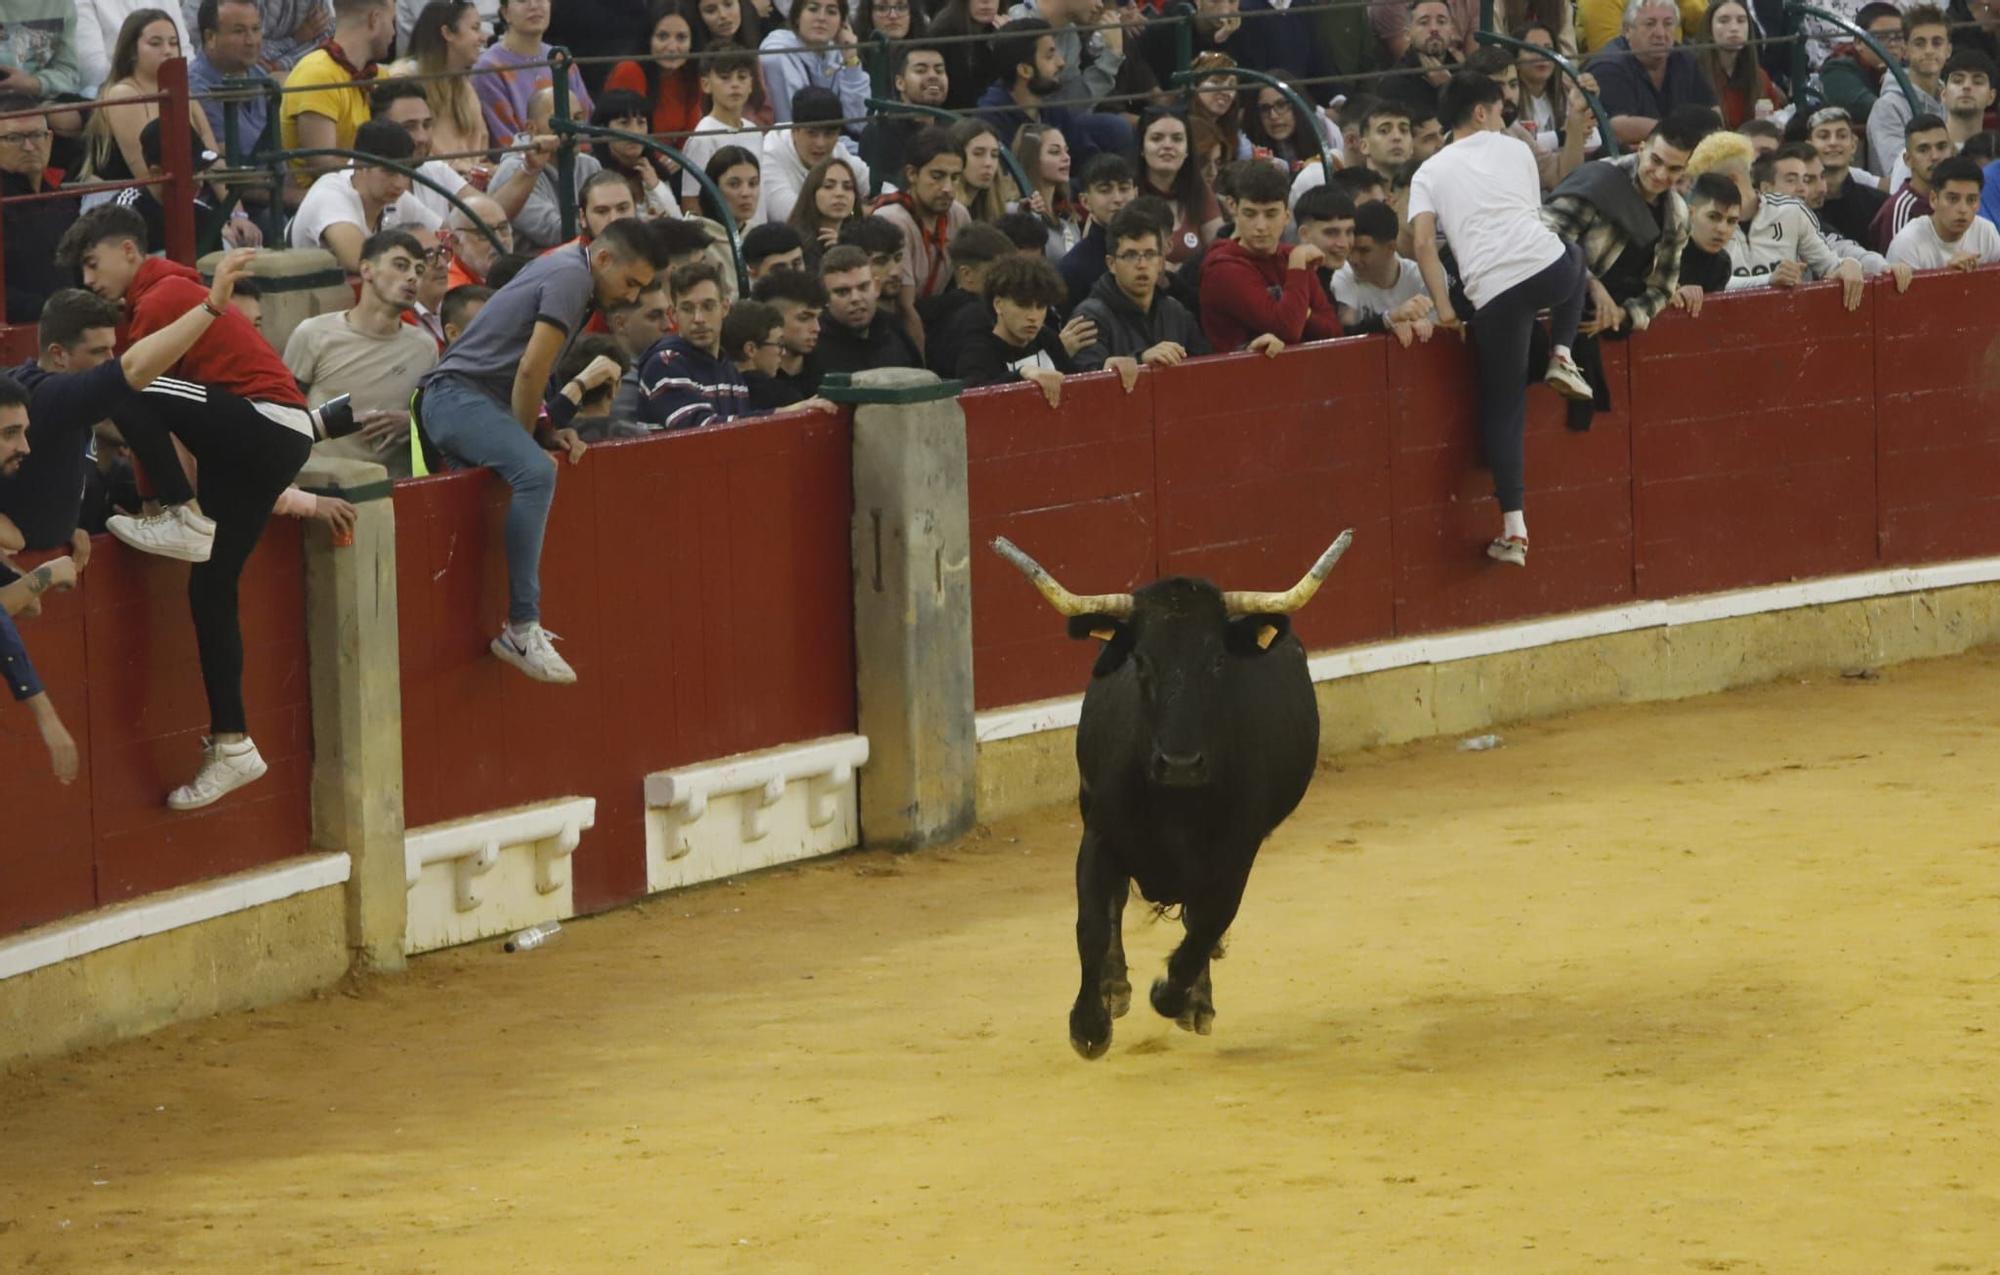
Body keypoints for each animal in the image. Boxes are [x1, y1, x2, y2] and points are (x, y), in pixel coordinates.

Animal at [992, 535, 1352, 1063]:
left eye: (1218, 661)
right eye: (1142, 661)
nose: (1180, 764)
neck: (1175, 805)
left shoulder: (1237, 852)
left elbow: (1207, 926)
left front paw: (1174, 996)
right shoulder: (1099, 832)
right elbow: (1091, 924)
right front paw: (1090, 1024)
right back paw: (1116, 989)